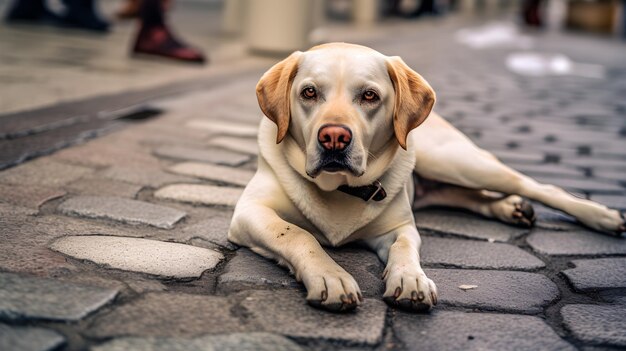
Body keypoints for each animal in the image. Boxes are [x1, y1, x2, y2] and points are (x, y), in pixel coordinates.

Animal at [227, 42, 620, 314]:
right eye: (309, 92)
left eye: (369, 96)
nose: (334, 137)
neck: (338, 189)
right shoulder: (249, 213)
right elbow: (299, 234)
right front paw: (330, 275)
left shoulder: (400, 227)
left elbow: (405, 247)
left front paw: (410, 278)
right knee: (469, 196)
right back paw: (511, 208)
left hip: (455, 160)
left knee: (533, 184)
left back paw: (600, 215)